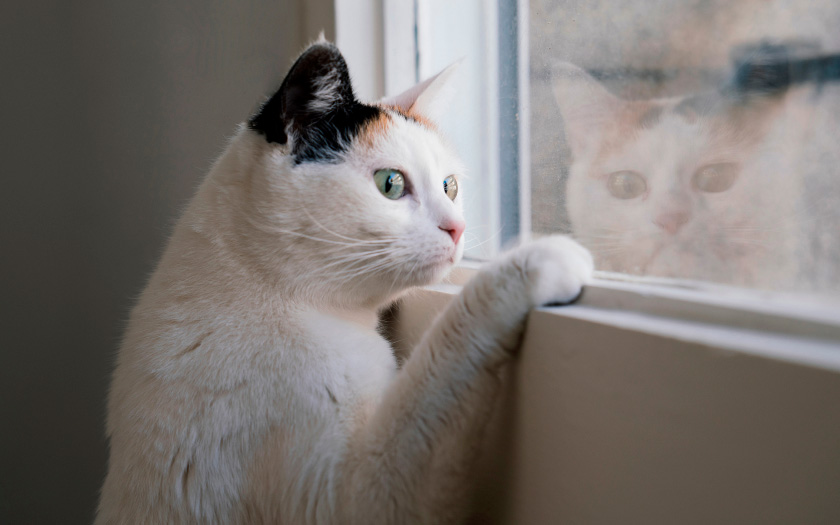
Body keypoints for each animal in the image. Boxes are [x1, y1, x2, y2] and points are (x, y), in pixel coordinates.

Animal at [97, 39, 592, 520]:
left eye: (450, 186)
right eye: (390, 184)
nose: (458, 229)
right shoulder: (350, 493)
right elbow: (444, 356)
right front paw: (542, 258)